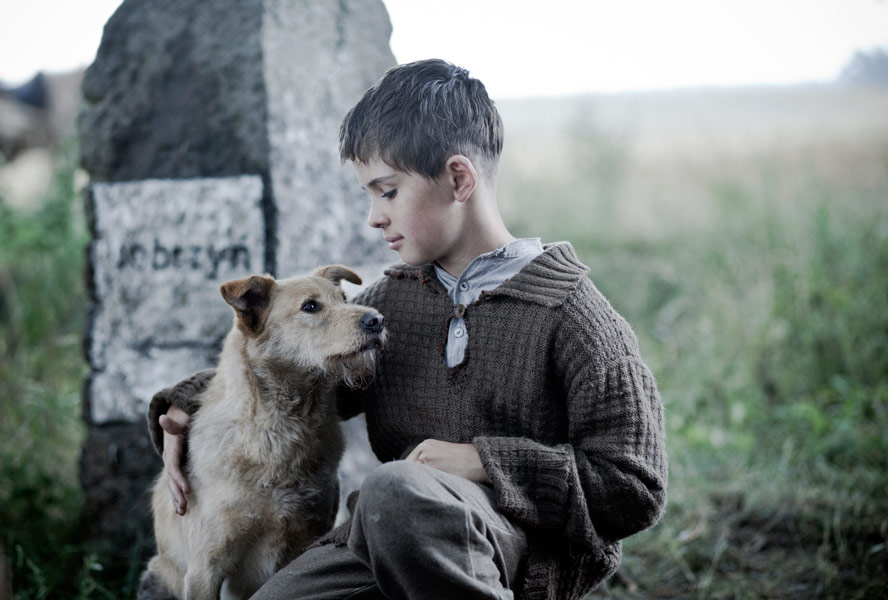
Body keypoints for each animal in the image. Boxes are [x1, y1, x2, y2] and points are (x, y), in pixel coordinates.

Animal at [140, 264, 384, 600]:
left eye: (345, 299)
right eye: (310, 306)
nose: (377, 320)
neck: (282, 427)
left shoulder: (307, 535)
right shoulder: (206, 566)